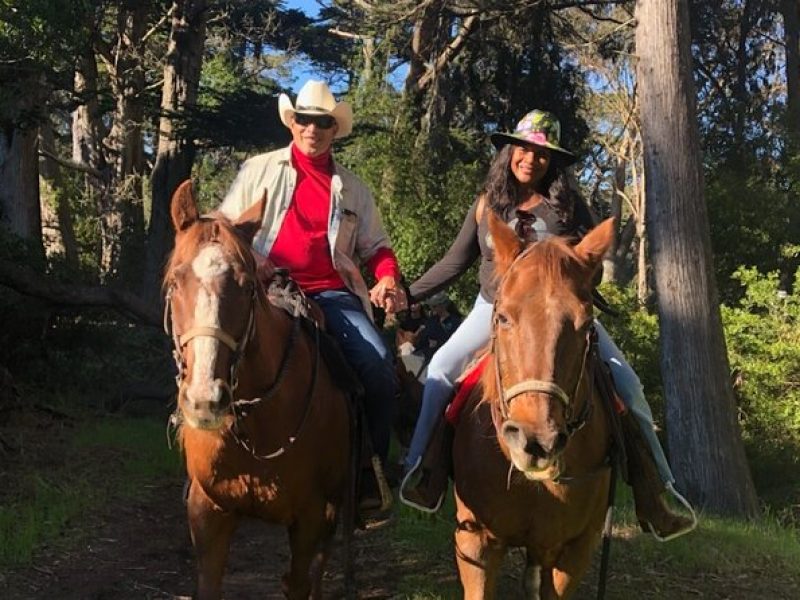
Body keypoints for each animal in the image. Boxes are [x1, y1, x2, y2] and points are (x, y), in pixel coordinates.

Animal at [162, 180, 350, 596]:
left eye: (247, 287)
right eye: (175, 282)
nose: (205, 400)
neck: (257, 420)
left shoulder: (310, 518)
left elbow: (299, 583)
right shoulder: (208, 512)